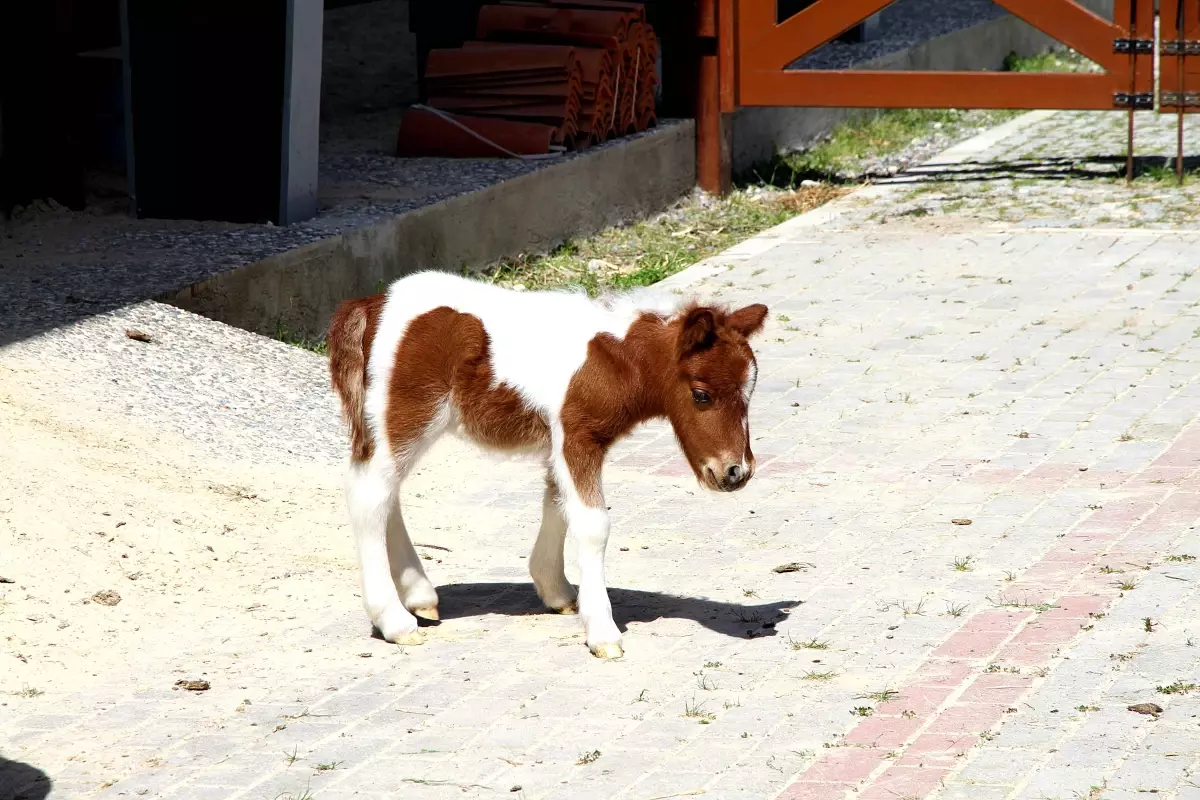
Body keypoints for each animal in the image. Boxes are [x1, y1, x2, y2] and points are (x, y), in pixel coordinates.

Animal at [326, 272, 768, 662]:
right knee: (370, 494)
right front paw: (602, 633)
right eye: (701, 394)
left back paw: (420, 597)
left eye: (750, 390)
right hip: (408, 415)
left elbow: (556, 503)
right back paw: (396, 622)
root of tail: (371, 304)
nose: (735, 472)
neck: (612, 362)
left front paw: (557, 592)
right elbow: (592, 525)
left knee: (387, 493)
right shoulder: (577, 436)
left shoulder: (563, 443)